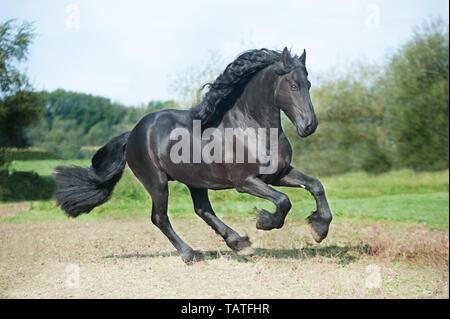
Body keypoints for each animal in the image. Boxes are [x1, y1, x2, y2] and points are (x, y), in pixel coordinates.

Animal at [54, 47, 332, 262]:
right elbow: (284, 201)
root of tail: (132, 133)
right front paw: (264, 221)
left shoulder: (279, 174)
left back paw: (239, 243)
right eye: (293, 85)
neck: (251, 128)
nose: (309, 126)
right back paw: (190, 254)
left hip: (195, 180)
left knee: (202, 210)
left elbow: (315, 186)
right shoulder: (245, 182)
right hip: (157, 182)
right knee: (160, 218)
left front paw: (319, 229)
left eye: (308, 84)